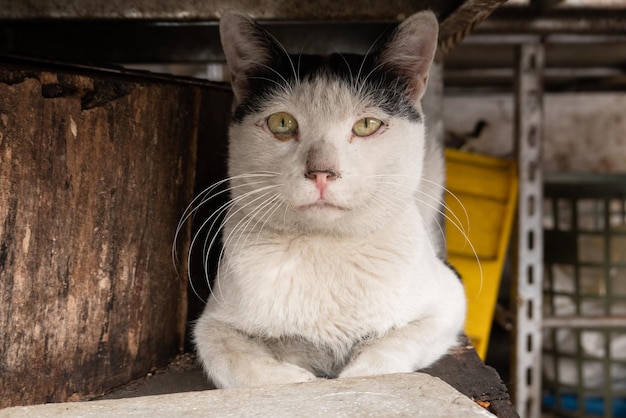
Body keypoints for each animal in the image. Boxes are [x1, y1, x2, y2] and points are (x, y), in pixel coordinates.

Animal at [190, 9, 464, 388]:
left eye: (366, 125)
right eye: (282, 122)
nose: (322, 172)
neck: (325, 247)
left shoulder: (449, 302)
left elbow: (388, 353)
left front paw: (353, 377)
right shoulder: (212, 323)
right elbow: (234, 360)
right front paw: (298, 379)